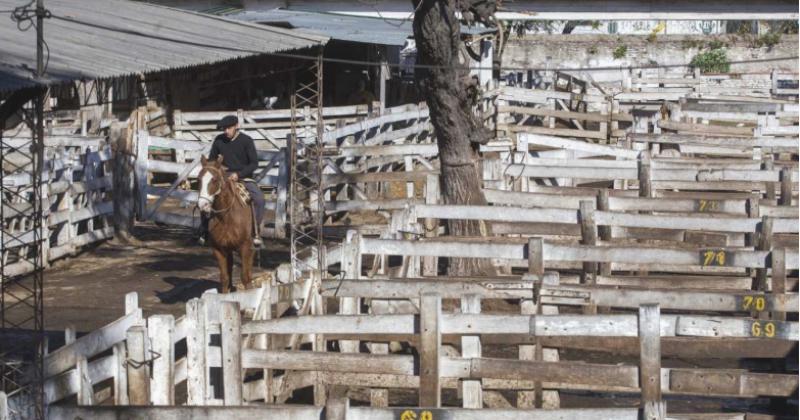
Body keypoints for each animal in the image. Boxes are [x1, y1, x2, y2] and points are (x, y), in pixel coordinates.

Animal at [197, 154, 253, 292]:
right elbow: (224, 278)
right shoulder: (219, 249)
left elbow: (245, 277)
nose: (202, 205)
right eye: (198, 179)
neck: (226, 218)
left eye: (214, 179)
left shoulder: (245, 247)